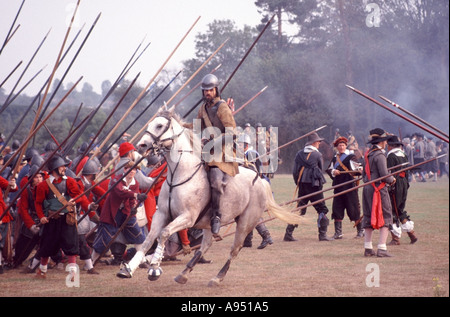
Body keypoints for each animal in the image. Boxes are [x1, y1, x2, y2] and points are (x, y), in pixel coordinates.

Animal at [116, 105, 302, 286]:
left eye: (160, 125)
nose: (141, 146)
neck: (180, 173)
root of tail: (260, 181)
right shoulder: (161, 214)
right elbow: (148, 240)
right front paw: (128, 269)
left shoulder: (187, 217)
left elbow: (164, 233)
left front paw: (154, 268)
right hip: (208, 224)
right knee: (206, 245)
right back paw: (184, 273)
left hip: (245, 222)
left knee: (235, 249)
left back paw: (217, 277)